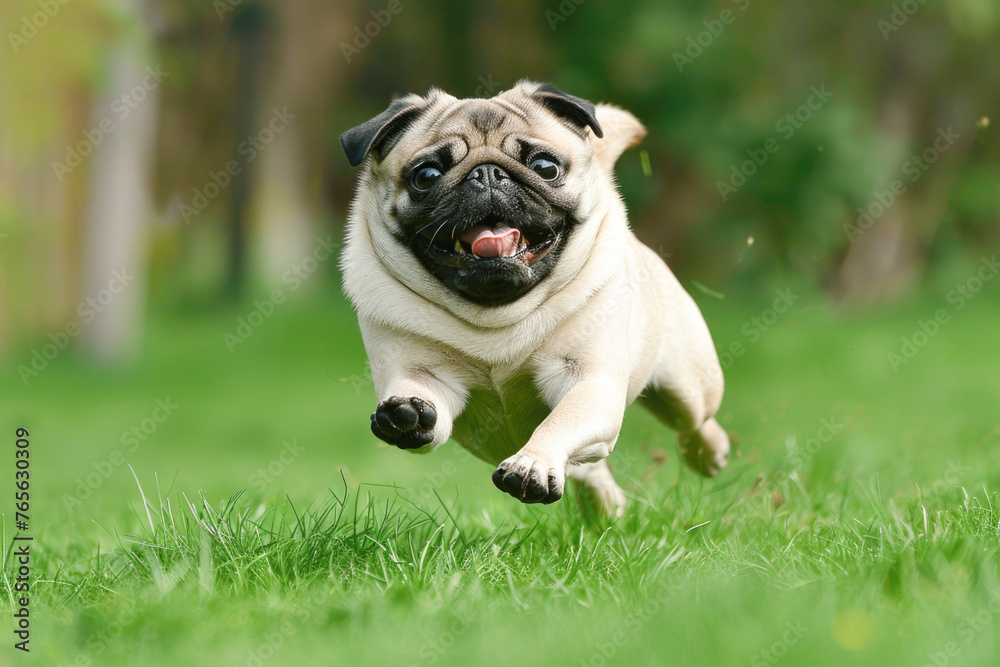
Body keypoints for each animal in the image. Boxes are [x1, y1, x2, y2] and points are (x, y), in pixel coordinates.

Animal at [338, 81, 728, 520]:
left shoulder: (589, 383)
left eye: (545, 168)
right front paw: (406, 416)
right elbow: (422, 404)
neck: (495, 315)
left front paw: (533, 464)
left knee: (695, 420)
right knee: (589, 467)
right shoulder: (424, 376)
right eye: (426, 176)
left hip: (689, 383)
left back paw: (707, 453)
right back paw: (603, 504)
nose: (487, 173)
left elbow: (561, 422)